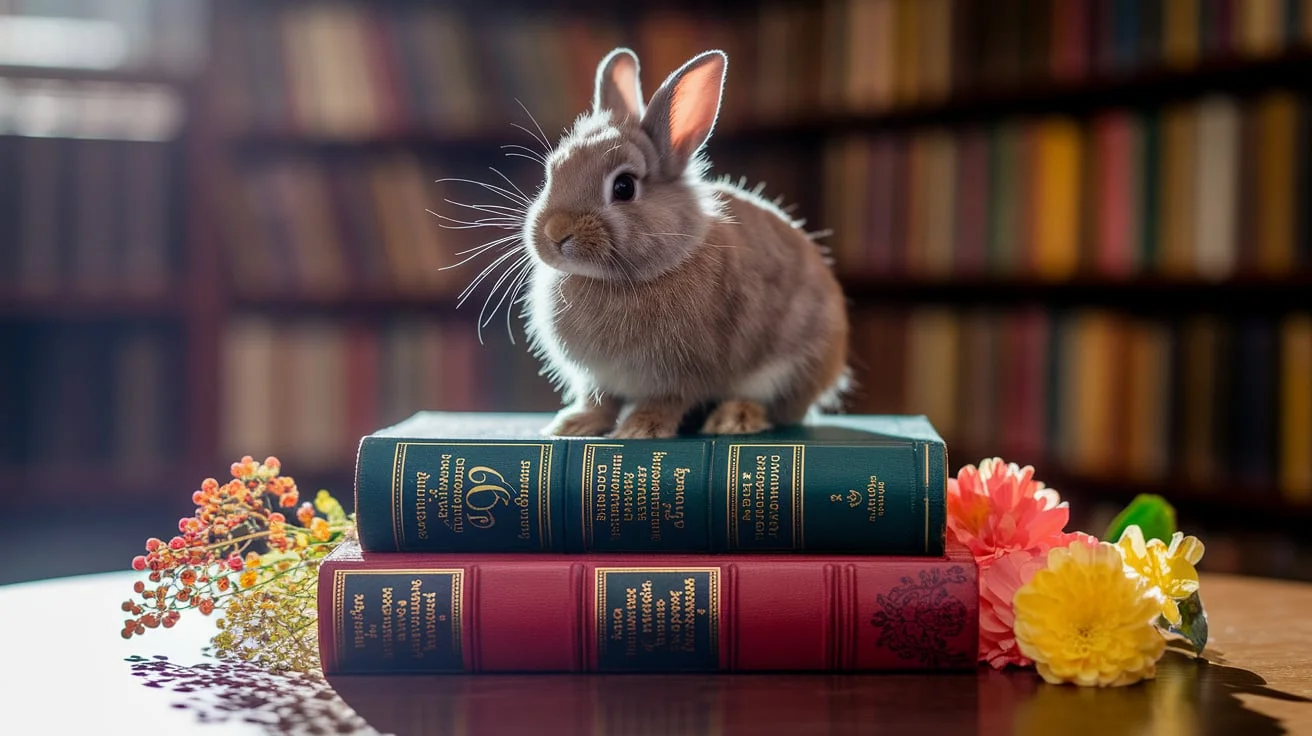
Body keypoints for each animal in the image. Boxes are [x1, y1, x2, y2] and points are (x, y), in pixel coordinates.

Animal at [523, 47, 850, 439]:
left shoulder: (681, 373)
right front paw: (572, 424)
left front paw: (641, 429)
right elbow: (600, 402)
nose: (555, 233)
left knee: (776, 406)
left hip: (790, 366)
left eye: (624, 187)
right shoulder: (597, 379)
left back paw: (734, 419)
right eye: (553, 171)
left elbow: (665, 400)